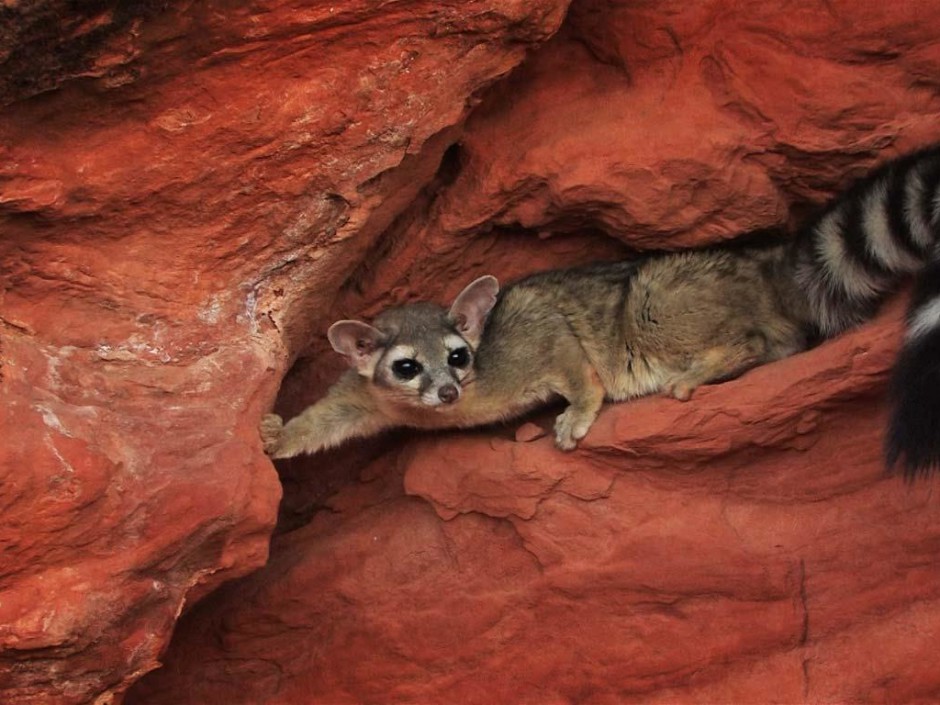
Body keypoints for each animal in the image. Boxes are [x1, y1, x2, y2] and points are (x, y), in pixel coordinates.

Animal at [260, 144, 940, 476]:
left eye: (458, 357)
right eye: (406, 367)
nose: (450, 393)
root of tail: (764, 261)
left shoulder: (530, 335)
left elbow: (572, 356)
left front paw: (582, 407)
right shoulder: (368, 393)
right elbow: (329, 417)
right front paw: (281, 435)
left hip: (659, 300)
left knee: (738, 335)